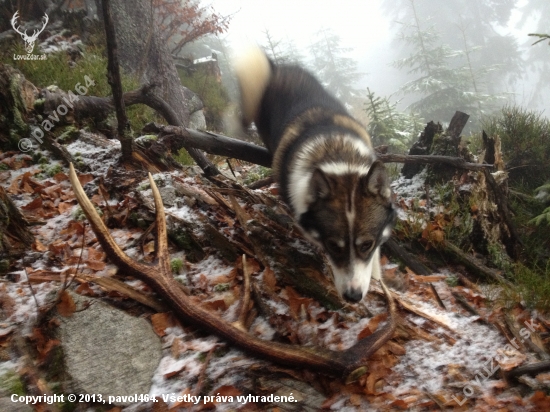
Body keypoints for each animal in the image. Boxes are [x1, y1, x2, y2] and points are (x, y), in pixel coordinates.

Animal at [233, 48, 396, 302]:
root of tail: (275, 67)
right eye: (333, 246)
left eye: (366, 245)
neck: (337, 155)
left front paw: (377, 274)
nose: (353, 297)